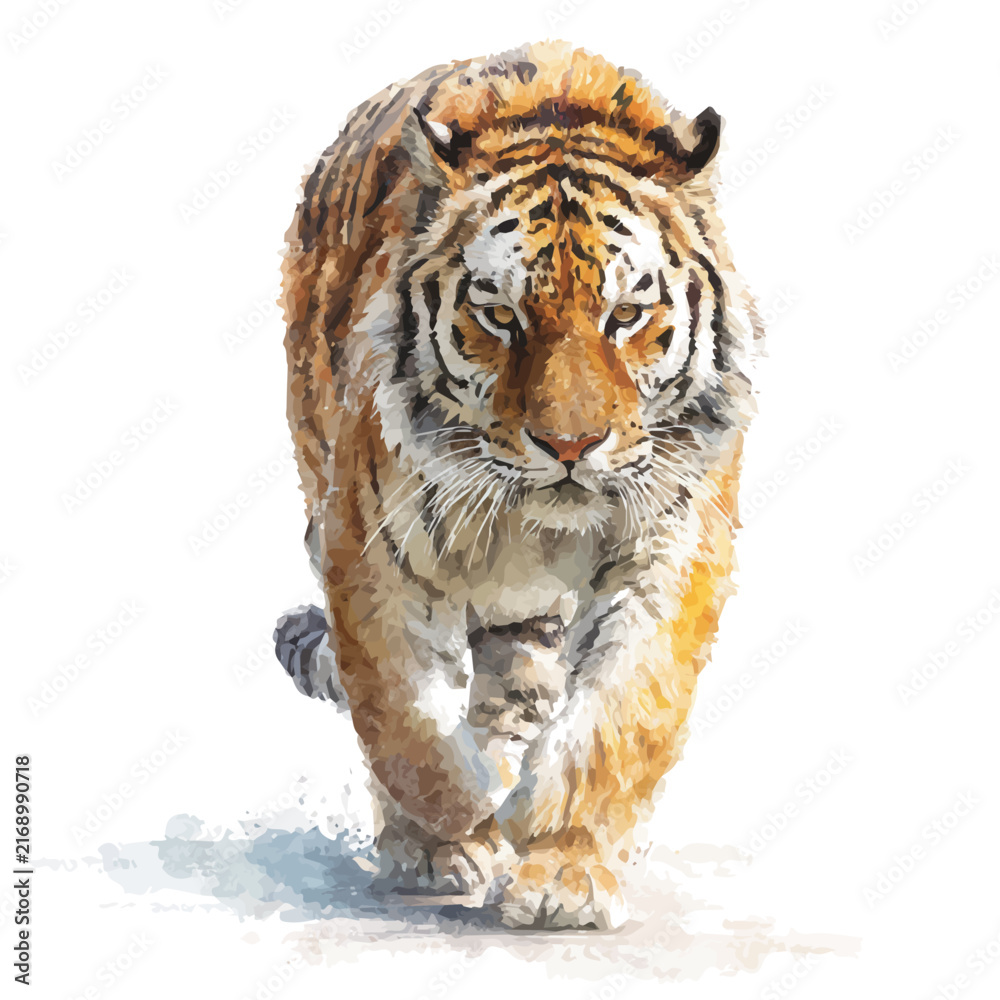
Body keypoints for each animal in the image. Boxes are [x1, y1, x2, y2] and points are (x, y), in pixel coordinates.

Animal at [278, 39, 763, 930]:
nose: (569, 443)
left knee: (517, 689)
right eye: (501, 315)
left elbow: (617, 715)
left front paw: (563, 868)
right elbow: (403, 719)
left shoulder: (672, 545)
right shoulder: (368, 549)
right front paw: (443, 844)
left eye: (625, 315)